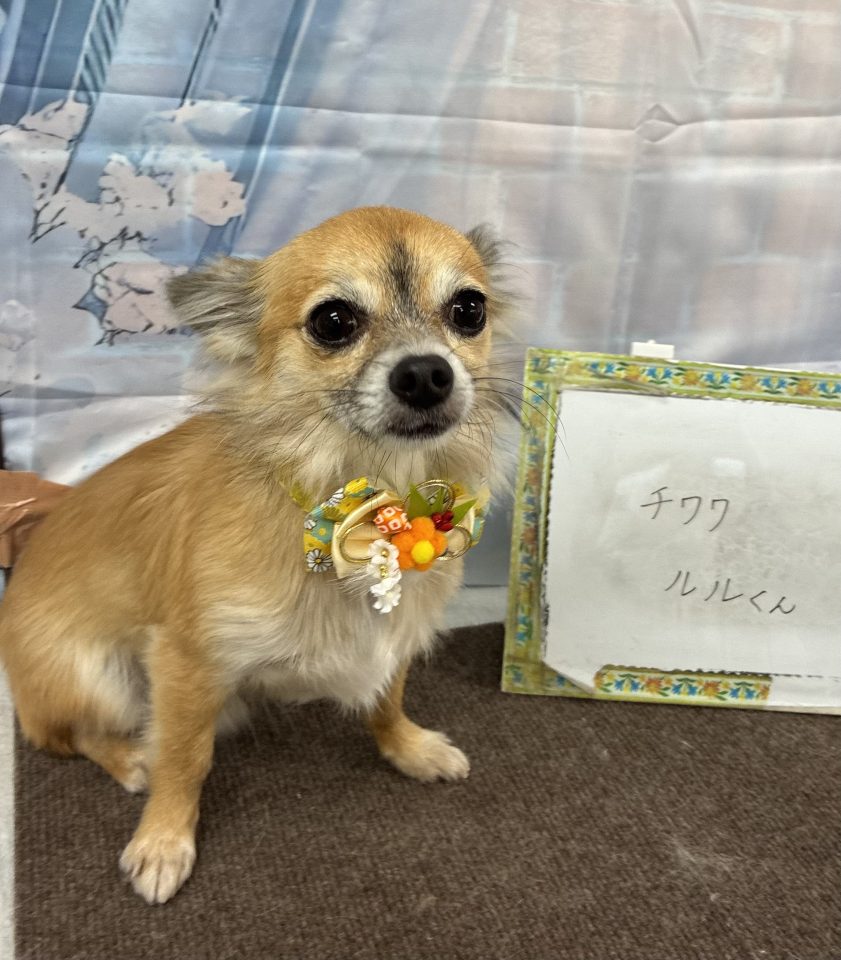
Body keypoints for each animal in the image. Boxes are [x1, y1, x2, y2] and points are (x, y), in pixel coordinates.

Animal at [0, 206, 513, 904]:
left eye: (468, 310)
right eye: (333, 321)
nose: (427, 372)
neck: (365, 498)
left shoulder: (396, 628)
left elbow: (388, 697)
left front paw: (409, 748)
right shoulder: (187, 661)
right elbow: (185, 758)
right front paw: (163, 840)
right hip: (99, 678)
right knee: (65, 735)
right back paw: (132, 757)